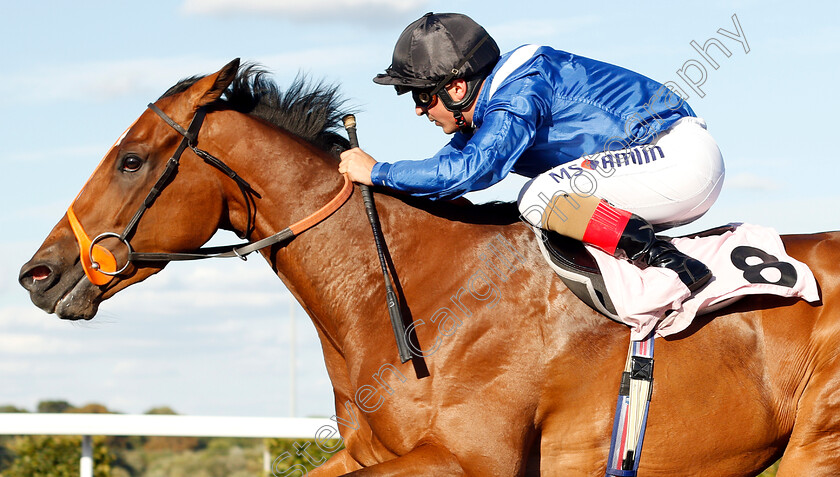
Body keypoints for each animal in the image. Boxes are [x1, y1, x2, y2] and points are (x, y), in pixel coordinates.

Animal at [18, 60, 840, 476]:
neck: (419, 293)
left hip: (816, 446)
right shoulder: (369, 453)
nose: (38, 274)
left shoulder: (470, 460)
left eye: (130, 159)